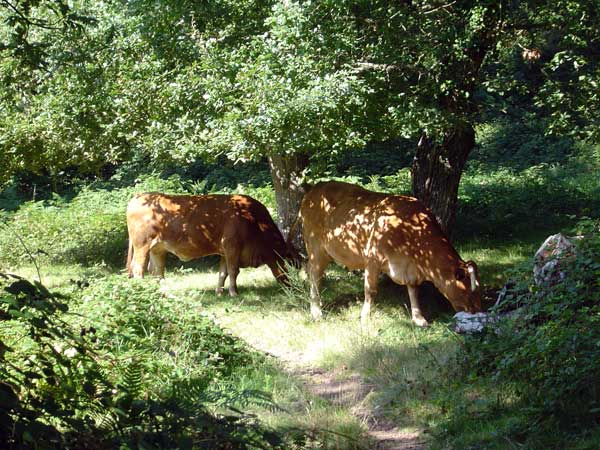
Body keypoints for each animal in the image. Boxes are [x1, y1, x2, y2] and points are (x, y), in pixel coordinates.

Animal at [126, 192, 296, 296]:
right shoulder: (232, 246)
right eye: (287, 261)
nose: (292, 286)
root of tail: (138, 197)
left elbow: (223, 272)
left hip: (157, 249)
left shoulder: (224, 251)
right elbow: (233, 271)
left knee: (157, 271)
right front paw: (233, 292)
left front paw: (219, 292)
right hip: (142, 246)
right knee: (139, 269)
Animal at [300, 180, 482, 326]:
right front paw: (365, 318)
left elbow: (414, 291)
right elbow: (370, 290)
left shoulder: (410, 269)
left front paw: (419, 319)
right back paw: (316, 312)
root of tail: (314, 188)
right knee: (315, 275)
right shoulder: (373, 258)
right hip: (315, 246)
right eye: (468, 289)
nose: (478, 311)